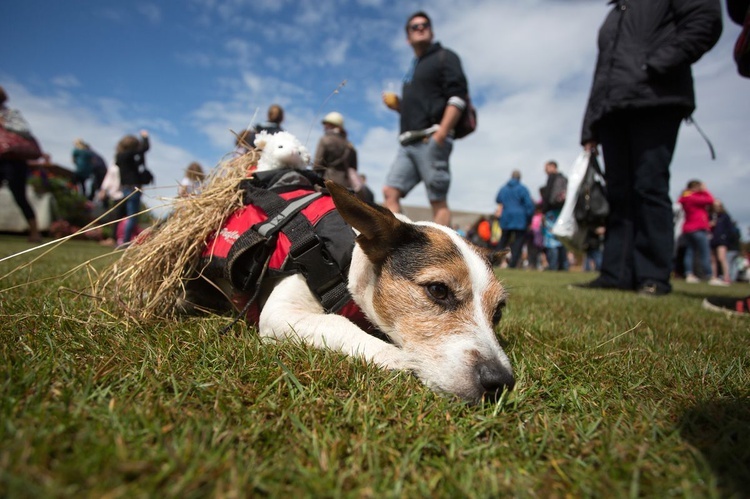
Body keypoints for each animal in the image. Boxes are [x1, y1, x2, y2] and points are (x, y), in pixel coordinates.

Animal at [181, 182, 516, 404]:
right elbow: (337, 323)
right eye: (438, 290)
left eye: (499, 311)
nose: (500, 381)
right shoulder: (281, 311)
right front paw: (398, 358)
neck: (348, 260)